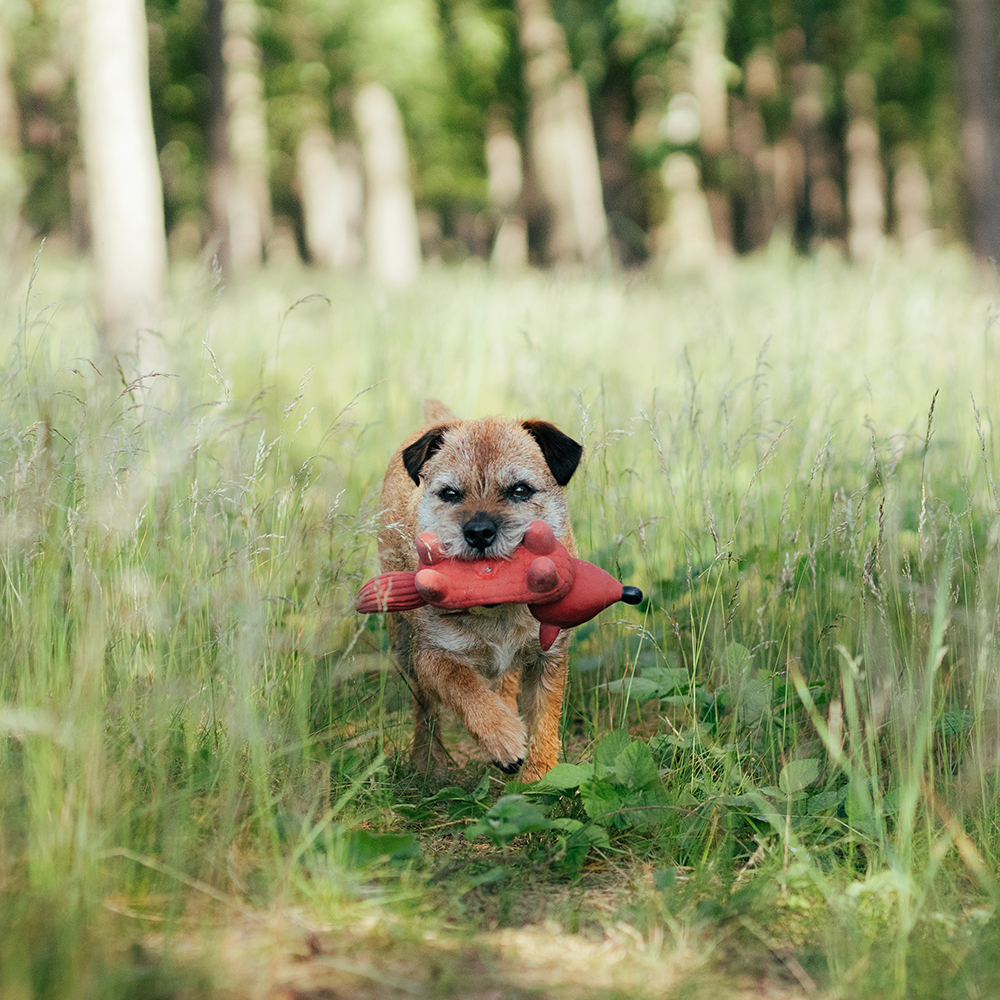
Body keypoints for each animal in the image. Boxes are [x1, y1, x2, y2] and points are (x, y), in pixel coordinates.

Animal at [376, 400, 584, 780]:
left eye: (520, 490)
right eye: (450, 494)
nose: (478, 531)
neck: (497, 609)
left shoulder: (548, 657)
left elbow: (544, 721)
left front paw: (539, 777)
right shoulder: (433, 656)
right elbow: (466, 688)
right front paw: (503, 737)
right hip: (402, 645)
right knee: (425, 708)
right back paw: (428, 763)